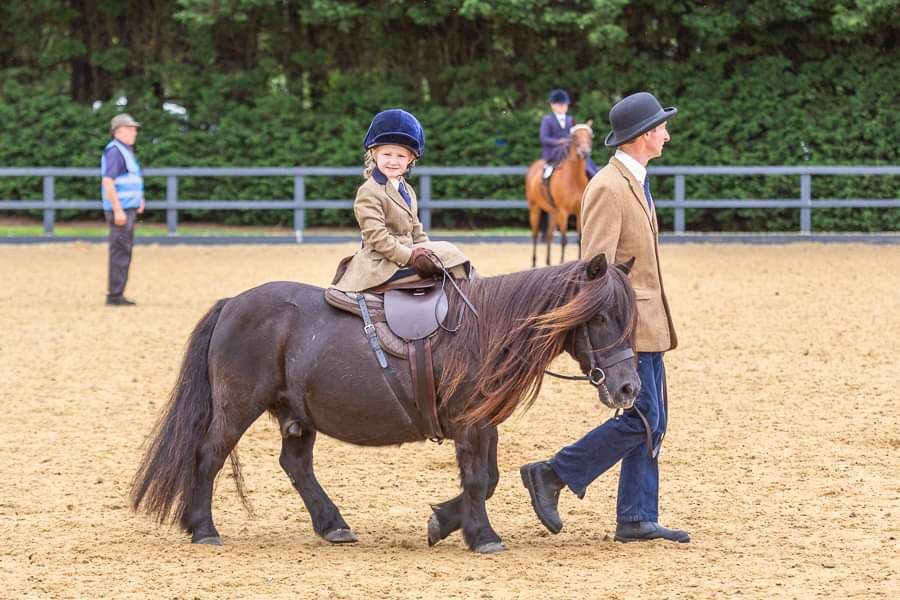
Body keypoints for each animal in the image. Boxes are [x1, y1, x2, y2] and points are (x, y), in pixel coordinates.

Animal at [132, 252, 640, 552]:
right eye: (602, 316)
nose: (629, 389)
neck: (487, 328)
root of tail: (234, 303)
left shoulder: (484, 424)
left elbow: (489, 480)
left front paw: (443, 521)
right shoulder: (470, 425)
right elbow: (478, 480)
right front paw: (483, 536)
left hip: (297, 415)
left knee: (296, 465)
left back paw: (333, 525)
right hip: (238, 407)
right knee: (209, 454)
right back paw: (203, 528)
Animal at [524, 122, 596, 268]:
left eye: (590, 136)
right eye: (574, 136)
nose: (585, 152)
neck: (574, 179)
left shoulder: (578, 212)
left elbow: (579, 239)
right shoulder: (563, 212)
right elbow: (564, 239)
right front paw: (562, 262)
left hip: (553, 212)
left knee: (549, 235)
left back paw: (548, 263)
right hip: (535, 208)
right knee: (535, 234)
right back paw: (534, 263)